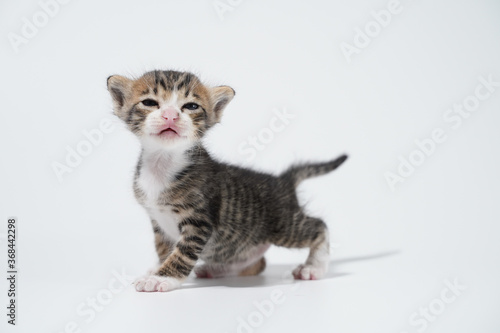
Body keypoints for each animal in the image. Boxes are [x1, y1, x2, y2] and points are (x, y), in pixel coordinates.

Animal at [105, 70, 348, 290]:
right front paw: (157, 268)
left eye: (191, 106)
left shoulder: (198, 222)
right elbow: (164, 250)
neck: (163, 162)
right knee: (258, 263)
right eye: (149, 103)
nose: (170, 115)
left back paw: (314, 267)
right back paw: (218, 269)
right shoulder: (158, 221)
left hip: (284, 225)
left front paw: (161, 278)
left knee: (319, 227)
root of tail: (282, 181)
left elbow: (182, 253)